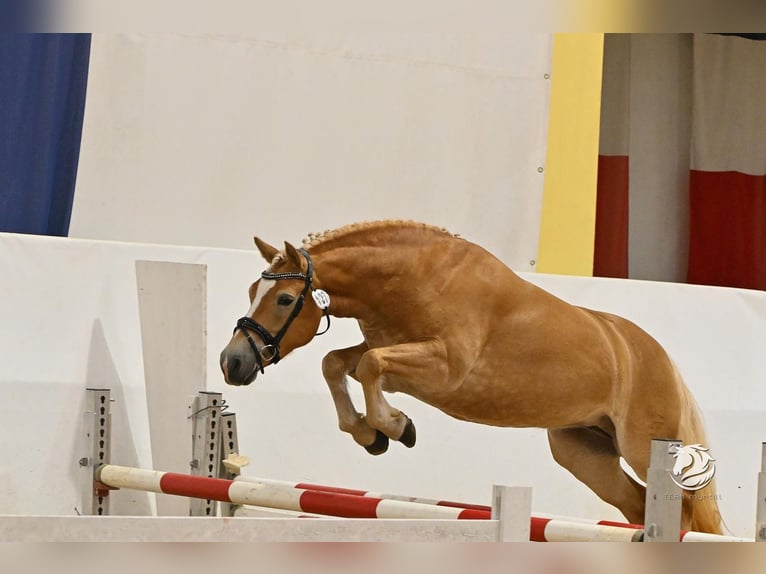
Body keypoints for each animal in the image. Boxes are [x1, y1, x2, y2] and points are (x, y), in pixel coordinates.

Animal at [219, 220, 724, 536]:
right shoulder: (397, 359)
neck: (413, 279)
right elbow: (339, 364)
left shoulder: (443, 370)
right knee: (637, 504)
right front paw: (372, 435)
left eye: (284, 300)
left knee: (686, 514)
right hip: (584, 453)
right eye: (251, 290)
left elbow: (369, 366)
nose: (232, 363)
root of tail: (660, 359)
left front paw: (396, 427)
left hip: (645, 448)